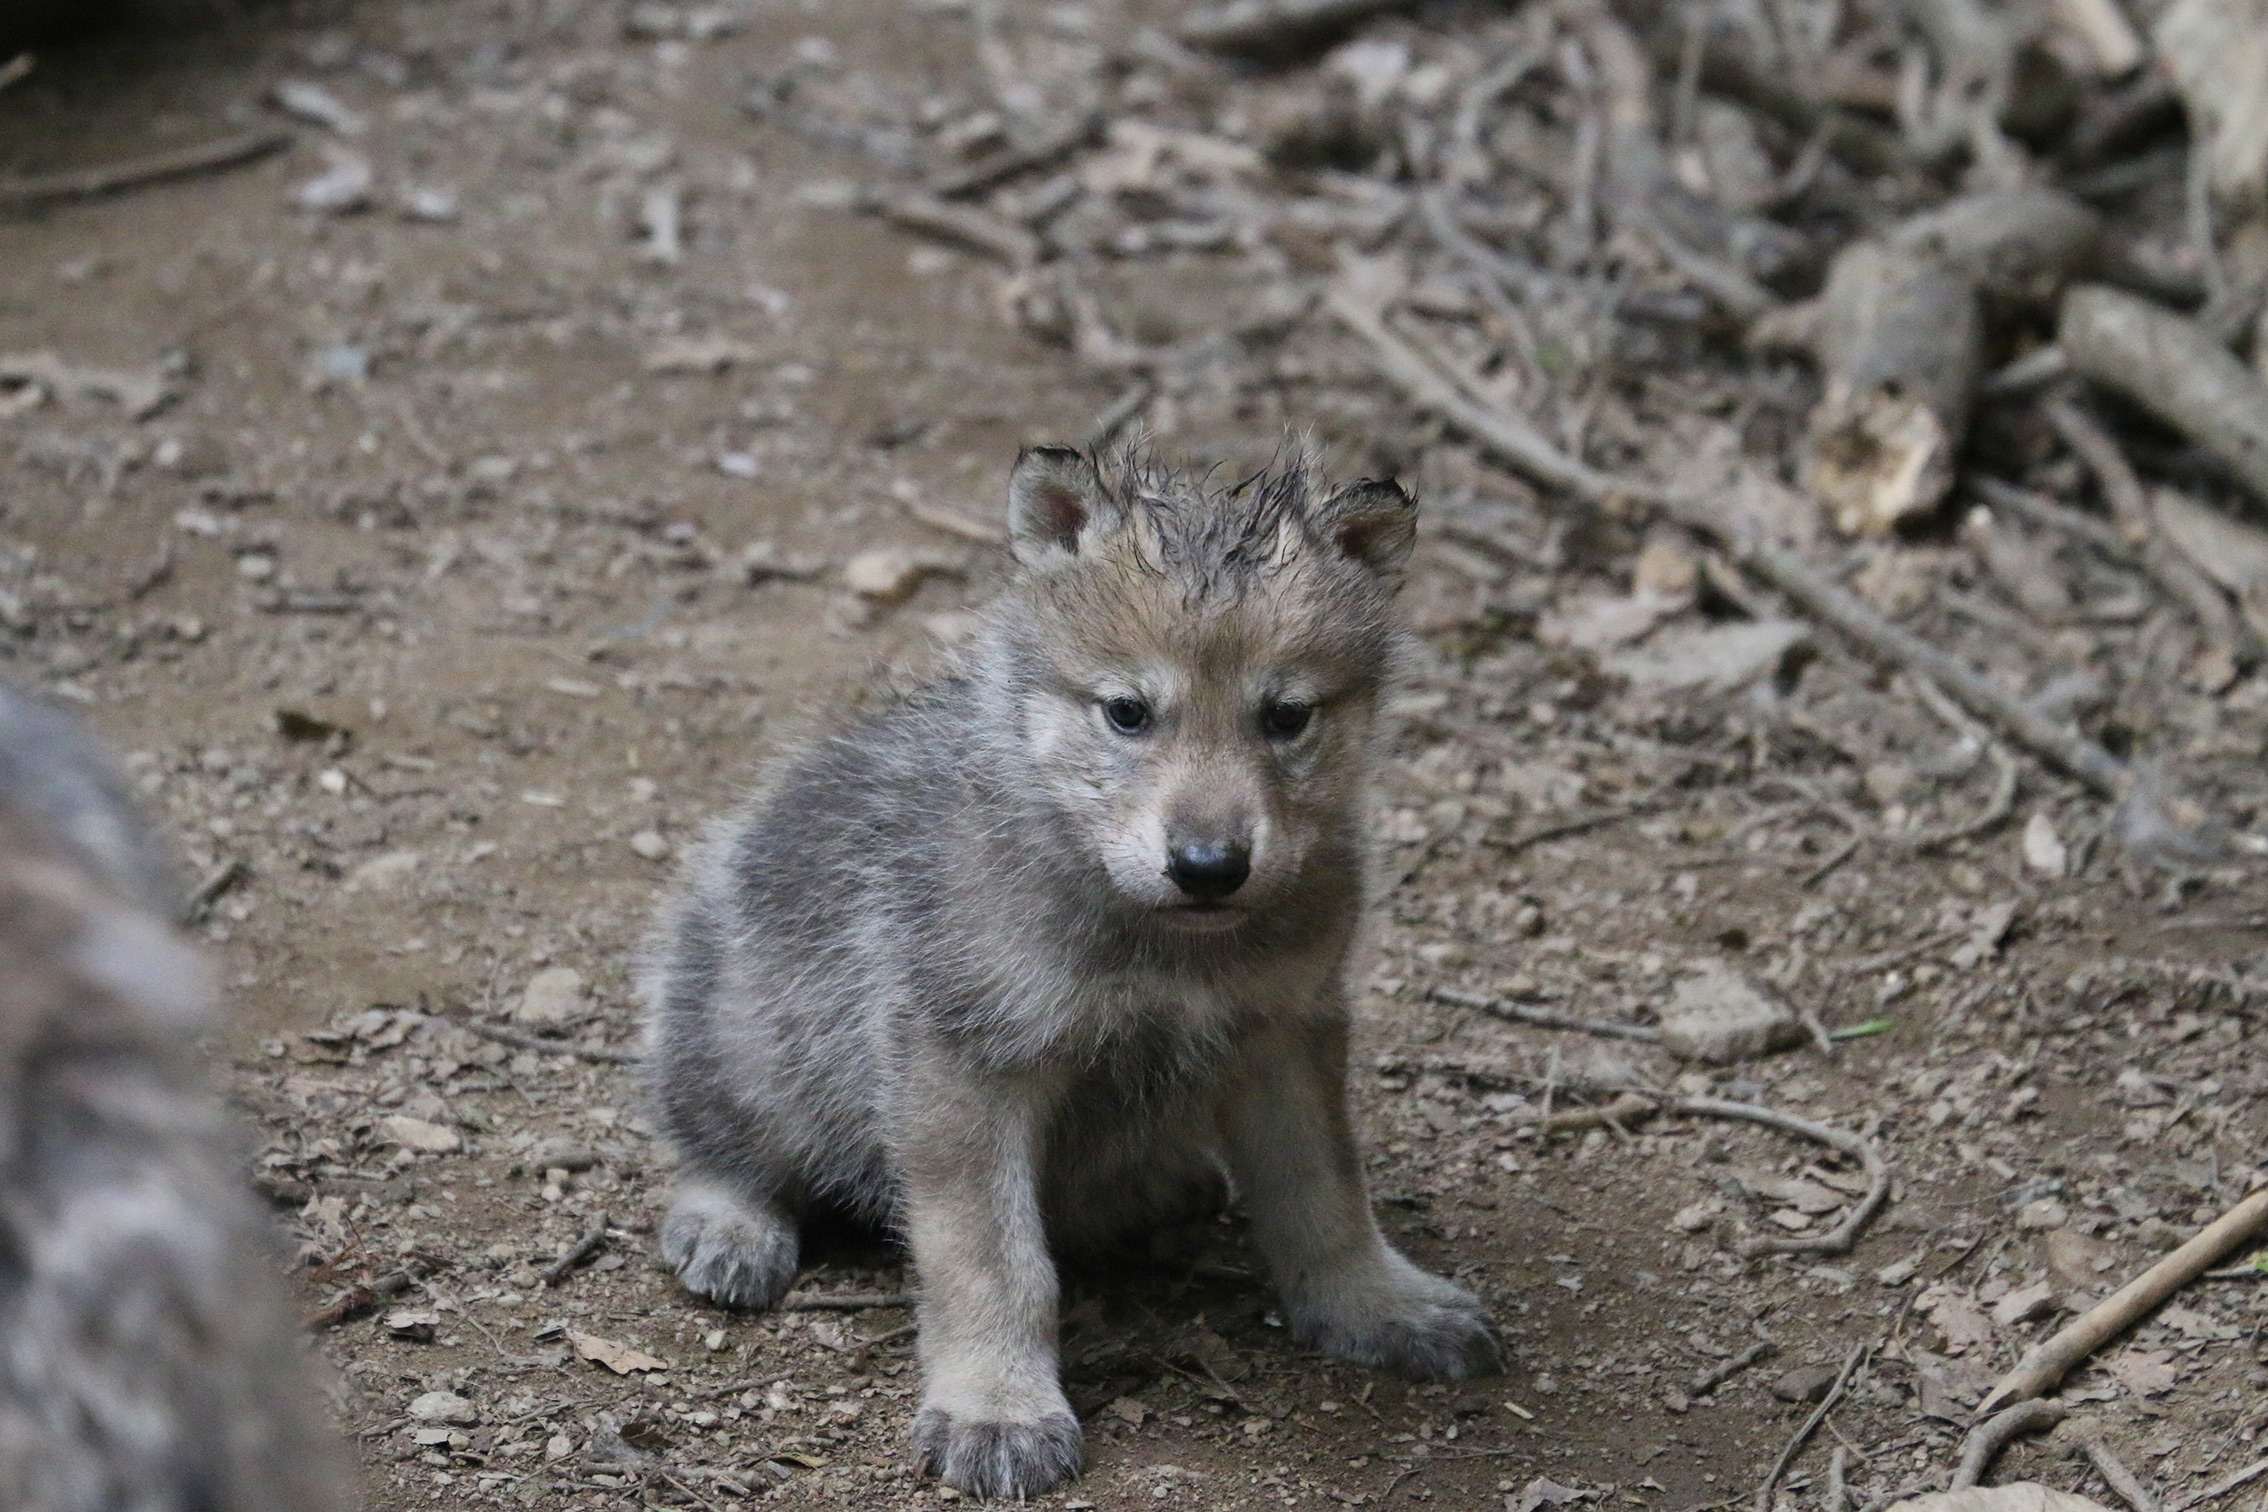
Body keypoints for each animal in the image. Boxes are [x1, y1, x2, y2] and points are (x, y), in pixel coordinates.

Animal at [643, 447, 1500, 1498]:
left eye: (1287, 716)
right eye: (1127, 713)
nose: (1209, 865)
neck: (1164, 942)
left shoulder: (1287, 1031)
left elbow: (1327, 1194)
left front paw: (1380, 1304)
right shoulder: (965, 1064)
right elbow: (995, 1262)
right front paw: (998, 1407)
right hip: (749, 1035)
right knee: (715, 1136)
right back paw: (730, 1226)